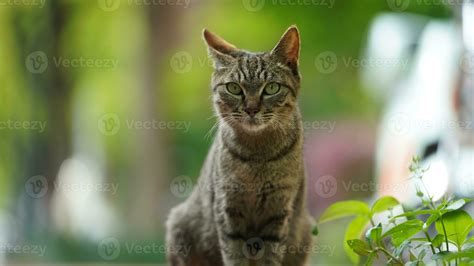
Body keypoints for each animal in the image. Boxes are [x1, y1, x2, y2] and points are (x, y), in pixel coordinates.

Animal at [165, 25, 312, 266]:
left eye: (271, 88)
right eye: (234, 88)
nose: (251, 109)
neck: (258, 155)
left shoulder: (278, 212)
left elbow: (270, 256)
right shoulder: (228, 210)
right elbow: (234, 255)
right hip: (179, 226)